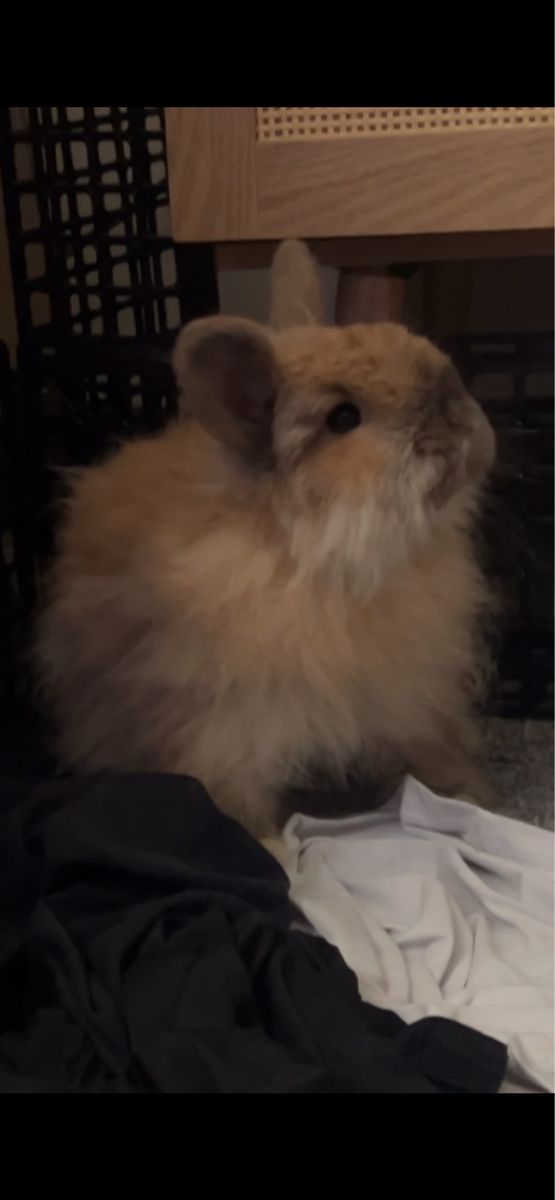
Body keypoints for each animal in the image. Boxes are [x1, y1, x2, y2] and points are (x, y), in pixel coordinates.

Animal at [36, 240, 496, 838]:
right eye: (343, 417)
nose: (463, 422)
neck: (320, 560)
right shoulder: (226, 732)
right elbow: (234, 803)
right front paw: (275, 850)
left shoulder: (415, 696)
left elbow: (430, 751)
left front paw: (467, 799)